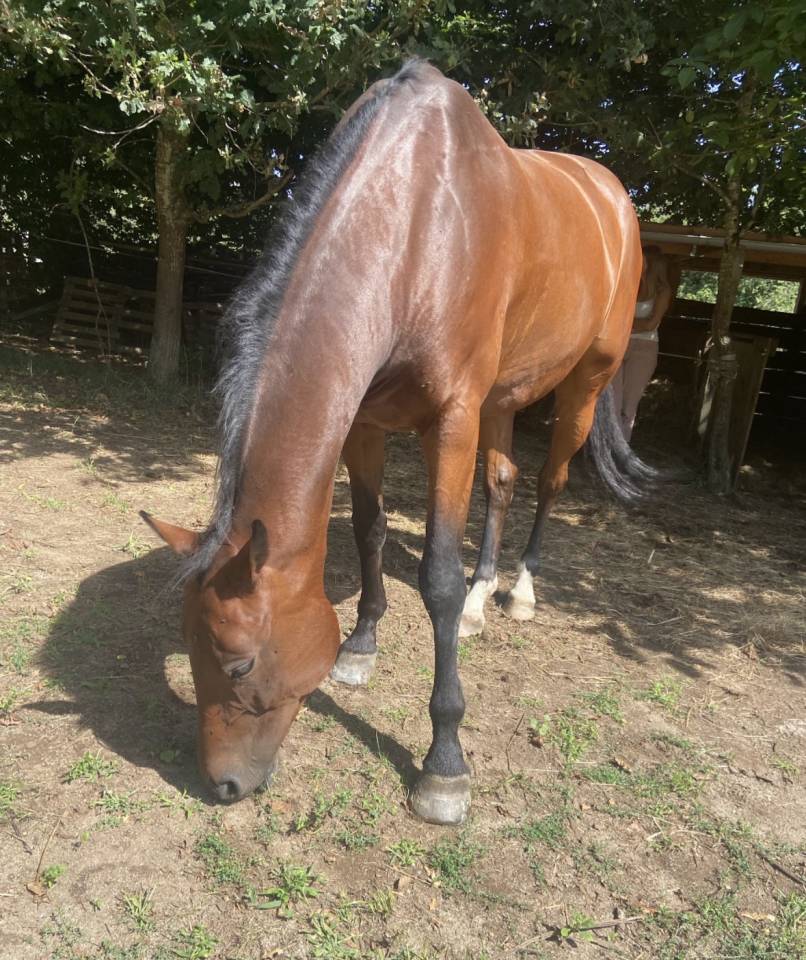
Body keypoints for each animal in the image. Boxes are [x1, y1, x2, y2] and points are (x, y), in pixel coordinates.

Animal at [141, 59, 652, 826]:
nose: (221, 785)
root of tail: (613, 195)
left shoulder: (452, 420)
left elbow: (436, 575)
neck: (415, 228)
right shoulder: (365, 421)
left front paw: (444, 765)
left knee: (549, 483)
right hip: (502, 398)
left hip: (583, 384)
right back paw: (481, 600)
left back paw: (520, 592)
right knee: (501, 483)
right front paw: (360, 645)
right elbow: (371, 530)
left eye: (238, 663)